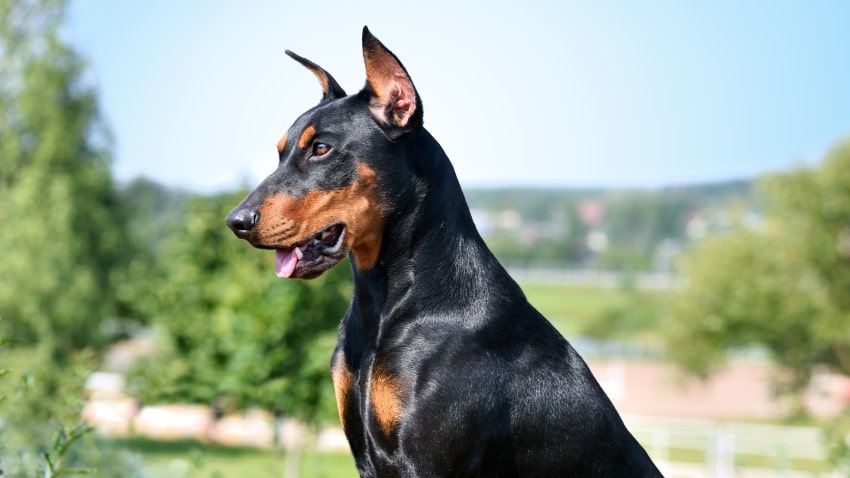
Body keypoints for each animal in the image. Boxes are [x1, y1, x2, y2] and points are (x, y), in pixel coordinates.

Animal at [224, 27, 656, 478]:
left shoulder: (428, 461)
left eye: (321, 148)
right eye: (281, 152)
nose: (236, 221)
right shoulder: (365, 456)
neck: (385, 303)